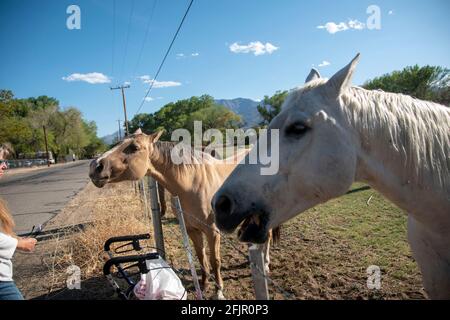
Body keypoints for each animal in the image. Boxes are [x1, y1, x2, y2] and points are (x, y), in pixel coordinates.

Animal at [88, 131, 278, 300]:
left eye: (134, 147)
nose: (95, 166)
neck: (192, 183)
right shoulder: (192, 230)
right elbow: (201, 257)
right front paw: (204, 285)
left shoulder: (212, 231)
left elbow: (215, 260)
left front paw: (219, 291)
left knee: (267, 237)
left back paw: (266, 263)